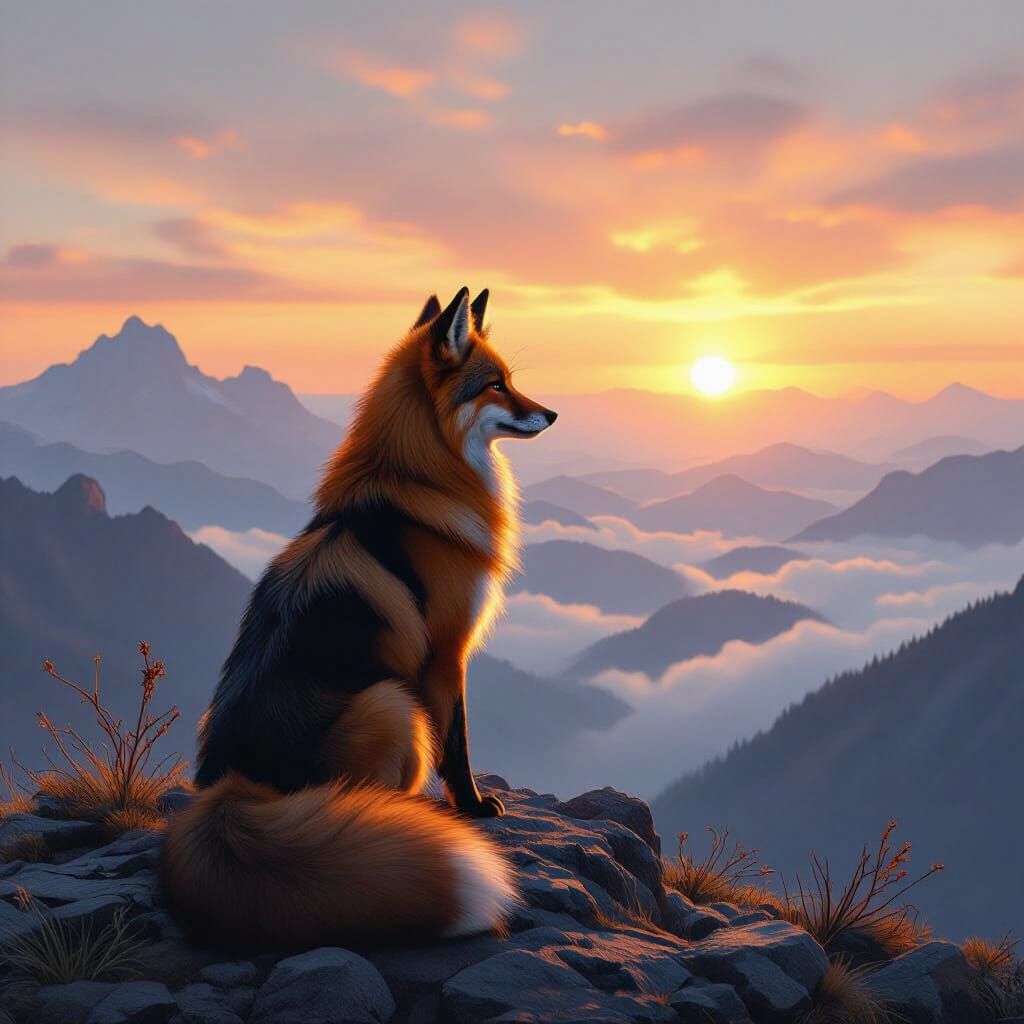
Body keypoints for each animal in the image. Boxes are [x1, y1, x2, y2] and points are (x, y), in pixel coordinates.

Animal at [161, 287, 557, 950]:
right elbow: (458, 744)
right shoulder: (448, 654)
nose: (551, 414)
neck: (419, 480)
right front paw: (474, 807)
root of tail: (232, 784)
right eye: (496, 385)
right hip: (392, 702)